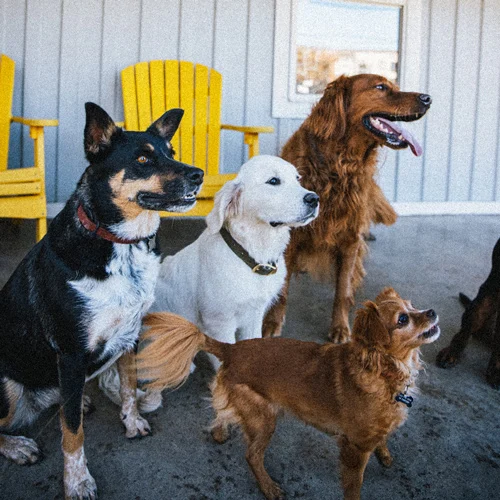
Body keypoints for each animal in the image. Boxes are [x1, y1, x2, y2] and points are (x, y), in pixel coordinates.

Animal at [0, 102, 203, 500]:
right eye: (143, 159)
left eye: (171, 153)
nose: (199, 174)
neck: (121, 244)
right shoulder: (71, 352)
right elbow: (72, 432)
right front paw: (78, 482)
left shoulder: (129, 335)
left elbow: (128, 386)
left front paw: (133, 422)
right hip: (6, 387)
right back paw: (17, 445)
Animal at [99, 155, 318, 406]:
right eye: (273, 181)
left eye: (297, 178)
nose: (315, 199)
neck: (251, 255)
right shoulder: (219, 323)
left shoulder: (254, 315)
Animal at [136, 288, 438, 500]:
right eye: (402, 319)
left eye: (413, 306)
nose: (433, 311)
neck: (384, 372)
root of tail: (231, 349)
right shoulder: (354, 448)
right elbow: (354, 488)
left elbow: (382, 438)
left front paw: (384, 454)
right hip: (265, 419)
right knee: (252, 456)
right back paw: (268, 487)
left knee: (221, 410)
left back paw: (220, 432)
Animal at [264, 72, 432, 342]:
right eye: (380, 87)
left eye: (394, 86)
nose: (428, 99)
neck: (339, 166)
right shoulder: (292, 236)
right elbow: (282, 289)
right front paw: (272, 323)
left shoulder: (350, 238)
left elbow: (342, 291)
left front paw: (341, 327)